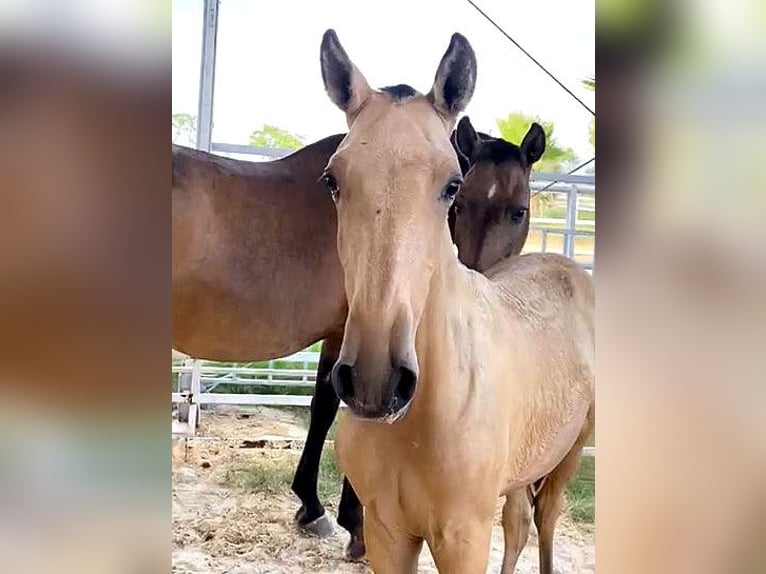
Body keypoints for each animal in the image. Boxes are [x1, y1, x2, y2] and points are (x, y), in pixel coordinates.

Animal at [320, 28, 596, 574]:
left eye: (451, 184)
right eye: (333, 180)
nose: (375, 381)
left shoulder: (463, 537)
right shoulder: (387, 534)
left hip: (572, 449)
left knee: (547, 517)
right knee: (519, 521)